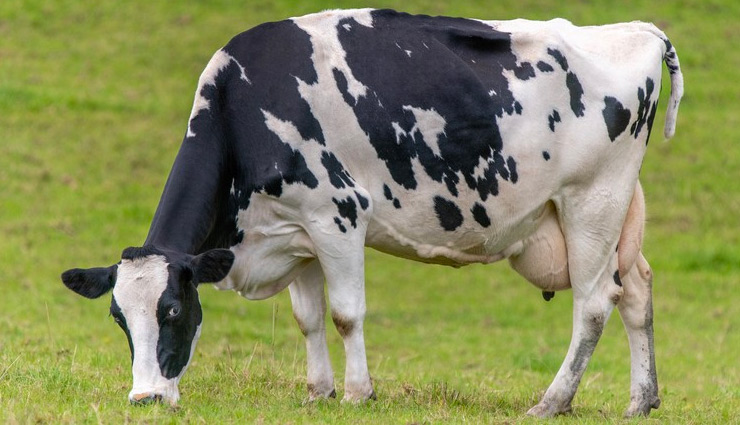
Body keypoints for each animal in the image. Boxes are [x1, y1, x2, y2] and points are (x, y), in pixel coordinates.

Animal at [60, 9, 683, 417]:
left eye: (171, 310)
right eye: (119, 318)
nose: (145, 397)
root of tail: (636, 29)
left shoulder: (337, 214)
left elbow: (345, 314)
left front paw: (360, 393)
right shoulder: (296, 229)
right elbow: (308, 318)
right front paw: (319, 391)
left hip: (592, 200)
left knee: (595, 303)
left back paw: (552, 401)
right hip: (618, 212)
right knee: (637, 288)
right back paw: (641, 400)